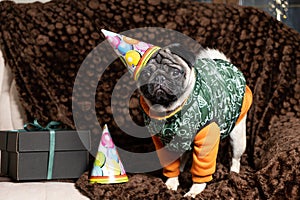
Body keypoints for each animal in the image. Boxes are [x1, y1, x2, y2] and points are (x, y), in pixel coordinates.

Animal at [137, 44, 252, 198]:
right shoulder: (164, 143)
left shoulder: (206, 142)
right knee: (184, 154)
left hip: (238, 136)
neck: (170, 111)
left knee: (236, 158)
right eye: (146, 75)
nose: (159, 77)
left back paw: (233, 174)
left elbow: (201, 169)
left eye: (175, 72)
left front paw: (195, 191)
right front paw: (171, 184)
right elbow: (171, 166)